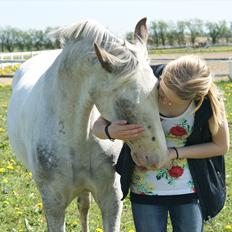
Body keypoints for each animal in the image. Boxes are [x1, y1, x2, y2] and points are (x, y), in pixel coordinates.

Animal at [7, 18, 167, 232]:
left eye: (158, 91)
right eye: (124, 103)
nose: (158, 158)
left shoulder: (111, 200)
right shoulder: (53, 206)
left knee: (84, 207)